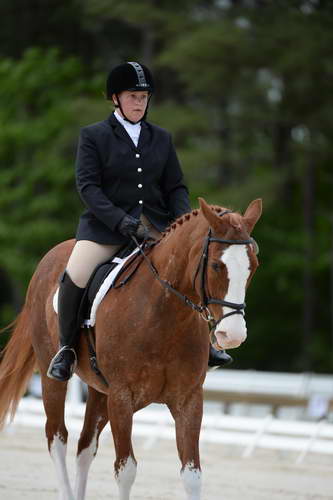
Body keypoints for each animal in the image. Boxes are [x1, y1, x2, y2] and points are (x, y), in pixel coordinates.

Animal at [0, 197, 260, 500]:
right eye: (217, 265)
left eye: (253, 266)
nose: (232, 335)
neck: (163, 314)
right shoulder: (122, 397)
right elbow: (125, 470)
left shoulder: (189, 399)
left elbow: (192, 474)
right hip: (51, 376)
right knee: (57, 437)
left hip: (100, 391)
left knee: (85, 447)